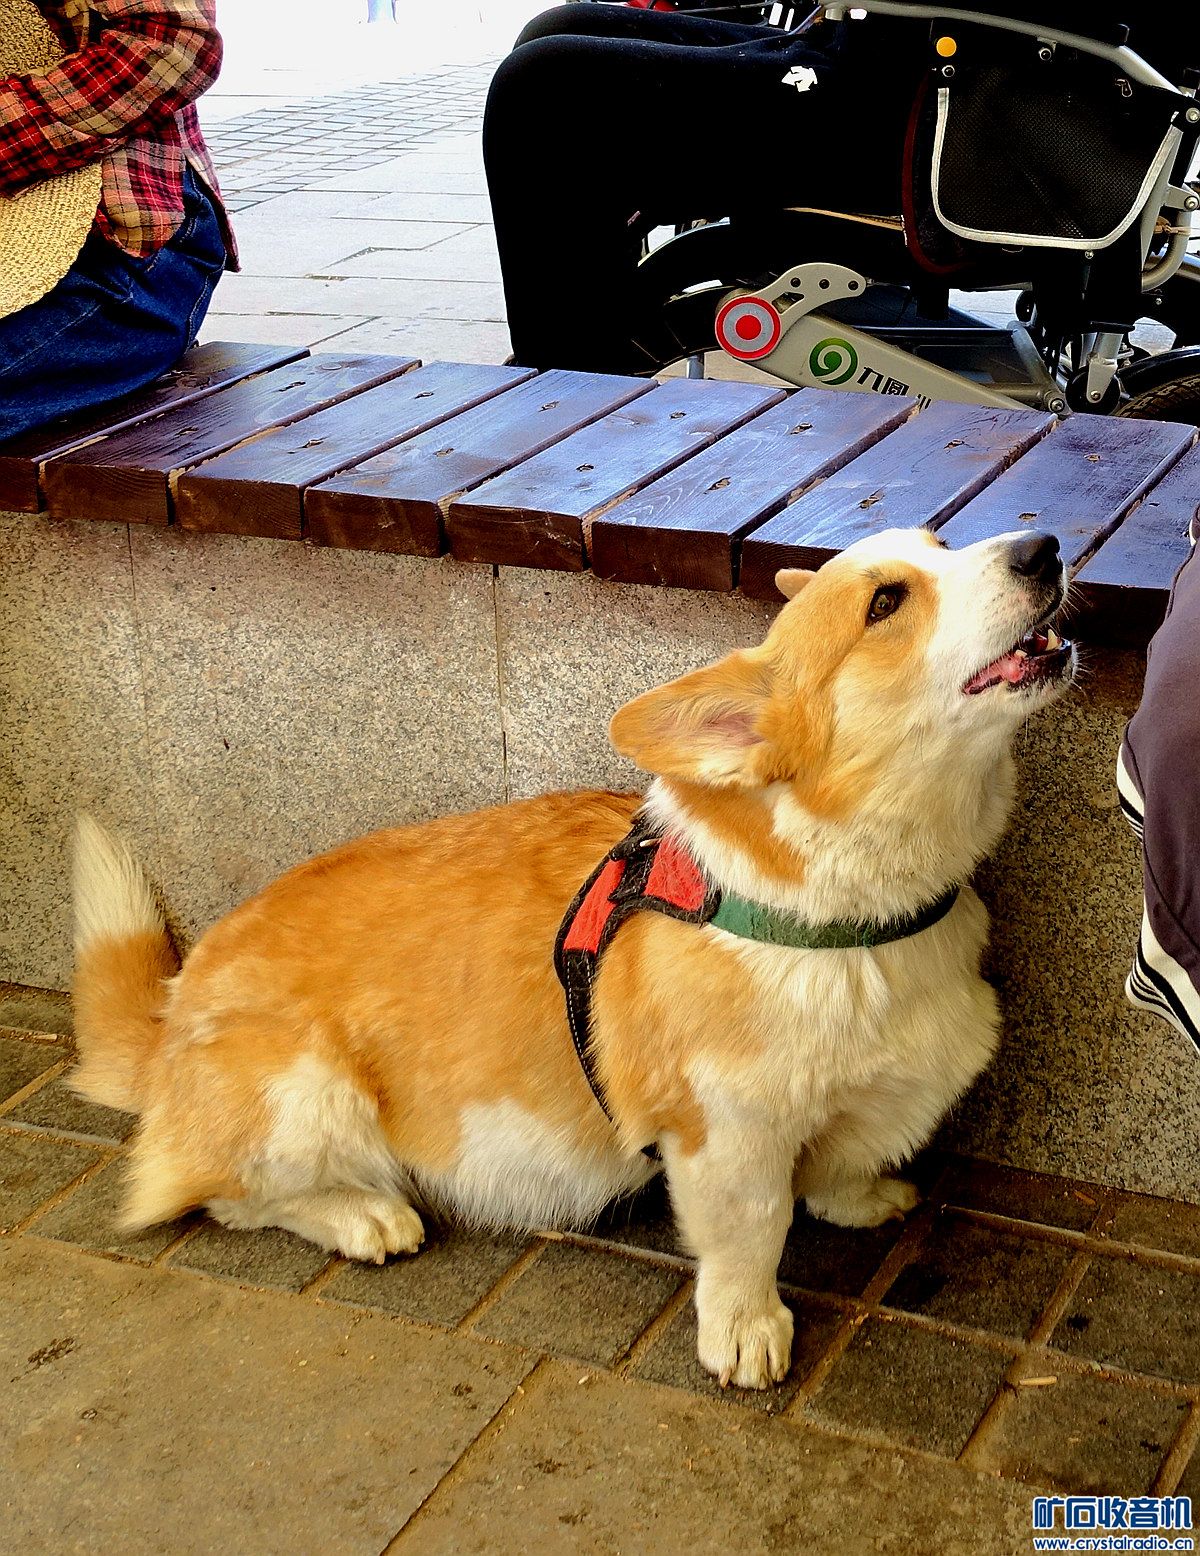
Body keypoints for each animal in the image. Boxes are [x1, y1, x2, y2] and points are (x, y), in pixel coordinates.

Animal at [70, 525, 1074, 1389]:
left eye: (941, 543)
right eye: (886, 603)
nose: (1045, 547)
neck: (851, 918)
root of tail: (167, 1024)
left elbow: (838, 1162)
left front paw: (858, 1196)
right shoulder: (723, 1133)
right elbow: (751, 1234)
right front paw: (746, 1332)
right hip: (309, 1091)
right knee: (225, 1195)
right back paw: (361, 1215)